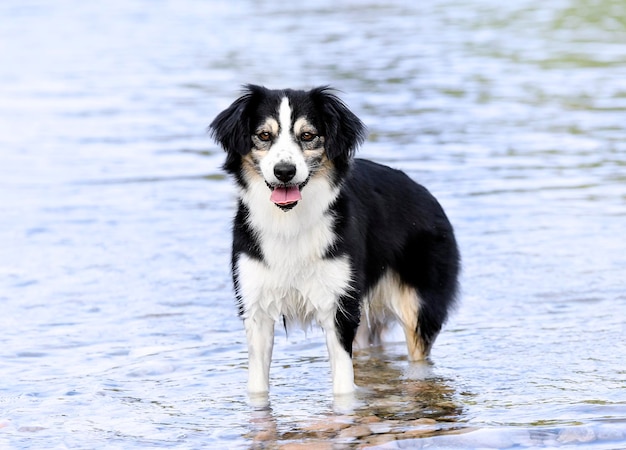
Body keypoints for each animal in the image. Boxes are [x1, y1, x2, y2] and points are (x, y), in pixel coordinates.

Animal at [210, 86, 458, 396]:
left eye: (307, 135)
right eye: (264, 135)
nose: (284, 171)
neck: (289, 223)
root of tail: (426, 194)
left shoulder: (339, 308)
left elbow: (343, 386)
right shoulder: (256, 306)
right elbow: (257, 386)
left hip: (418, 306)